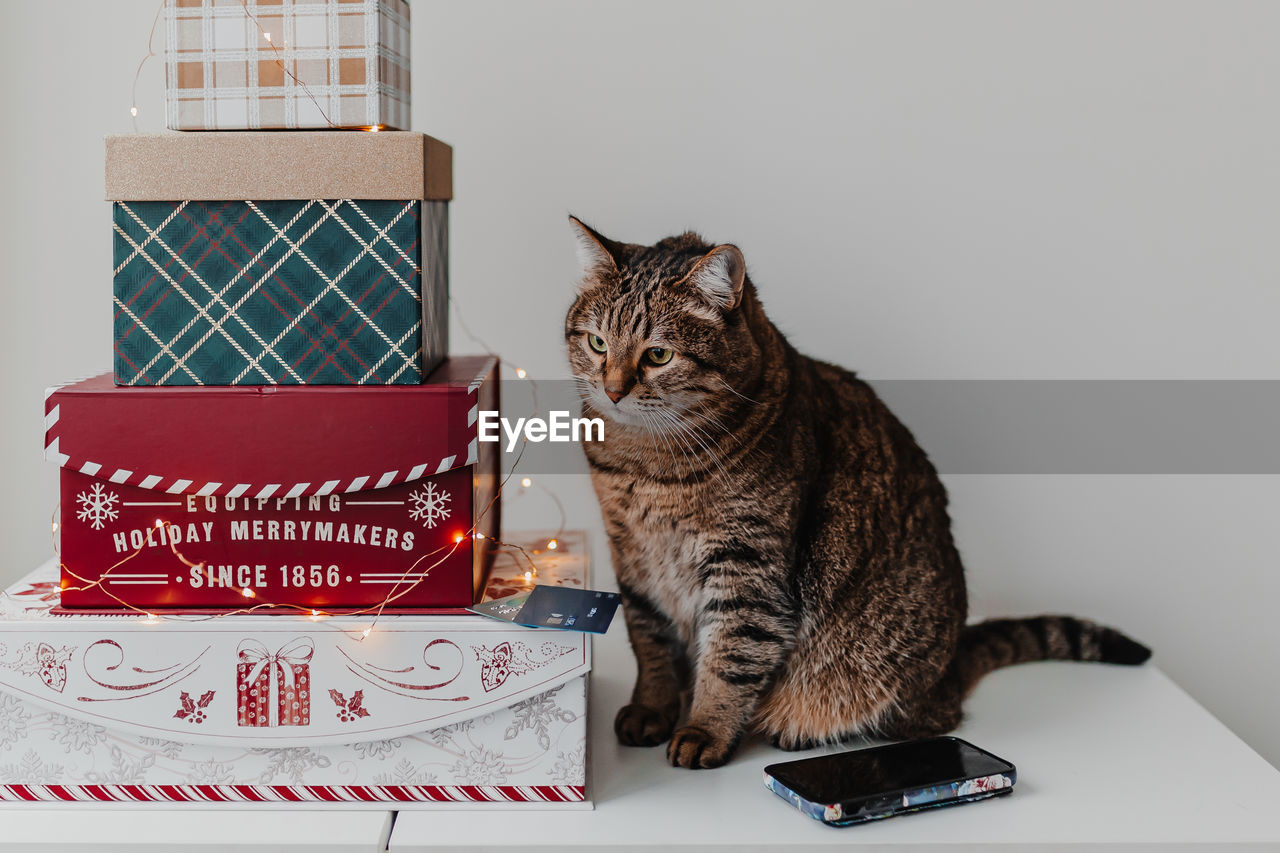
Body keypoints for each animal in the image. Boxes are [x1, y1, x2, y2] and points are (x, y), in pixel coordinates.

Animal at [563, 216, 1152, 768]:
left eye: (658, 355)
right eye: (597, 343)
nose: (612, 390)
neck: (644, 465)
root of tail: (950, 669)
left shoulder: (748, 569)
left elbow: (730, 660)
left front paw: (704, 729)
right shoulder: (632, 557)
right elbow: (650, 643)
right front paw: (653, 708)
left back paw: (798, 729)